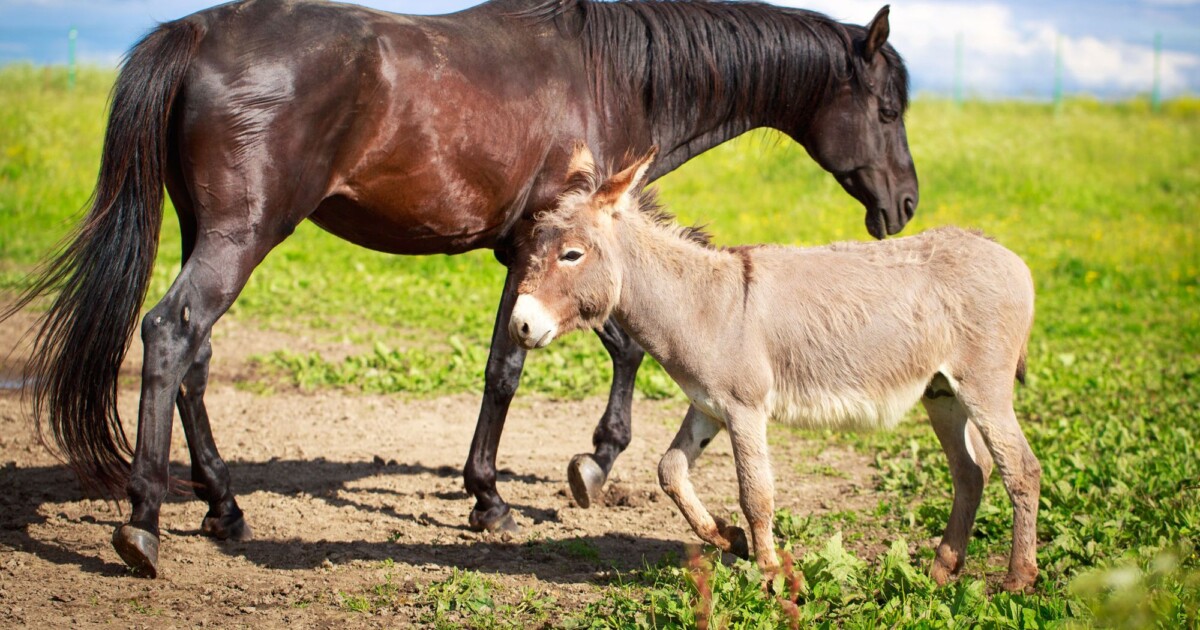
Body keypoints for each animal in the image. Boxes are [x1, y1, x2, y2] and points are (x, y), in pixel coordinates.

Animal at [4, 0, 912, 573]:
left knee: (195, 356)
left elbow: (599, 345)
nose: (903, 205)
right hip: (239, 238)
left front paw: (572, 468)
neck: (611, 72)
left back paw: (223, 506)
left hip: (213, 235)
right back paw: (144, 523)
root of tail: (196, 31)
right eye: (890, 108)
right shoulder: (544, 246)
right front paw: (519, 488)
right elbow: (527, 363)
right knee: (169, 333)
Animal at [506, 146, 1041, 590]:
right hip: (941, 392)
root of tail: (1011, 256)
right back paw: (942, 569)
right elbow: (670, 469)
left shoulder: (745, 408)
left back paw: (1018, 579)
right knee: (971, 472)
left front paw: (769, 573)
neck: (703, 303)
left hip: (984, 387)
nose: (520, 326)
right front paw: (728, 538)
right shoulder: (709, 405)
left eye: (572, 254)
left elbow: (755, 493)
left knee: (1021, 468)